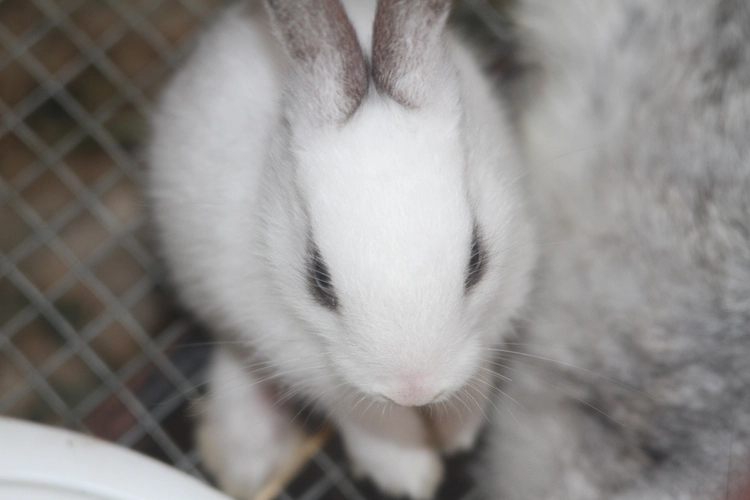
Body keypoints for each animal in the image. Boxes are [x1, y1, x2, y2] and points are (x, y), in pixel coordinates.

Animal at [148, 0, 536, 498]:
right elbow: (368, 419)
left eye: (477, 260)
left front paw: (457, 433)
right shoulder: (313, 366)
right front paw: (410, 476)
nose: (414, 389)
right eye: (318, 279)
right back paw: (246, 458)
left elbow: (476, 375)